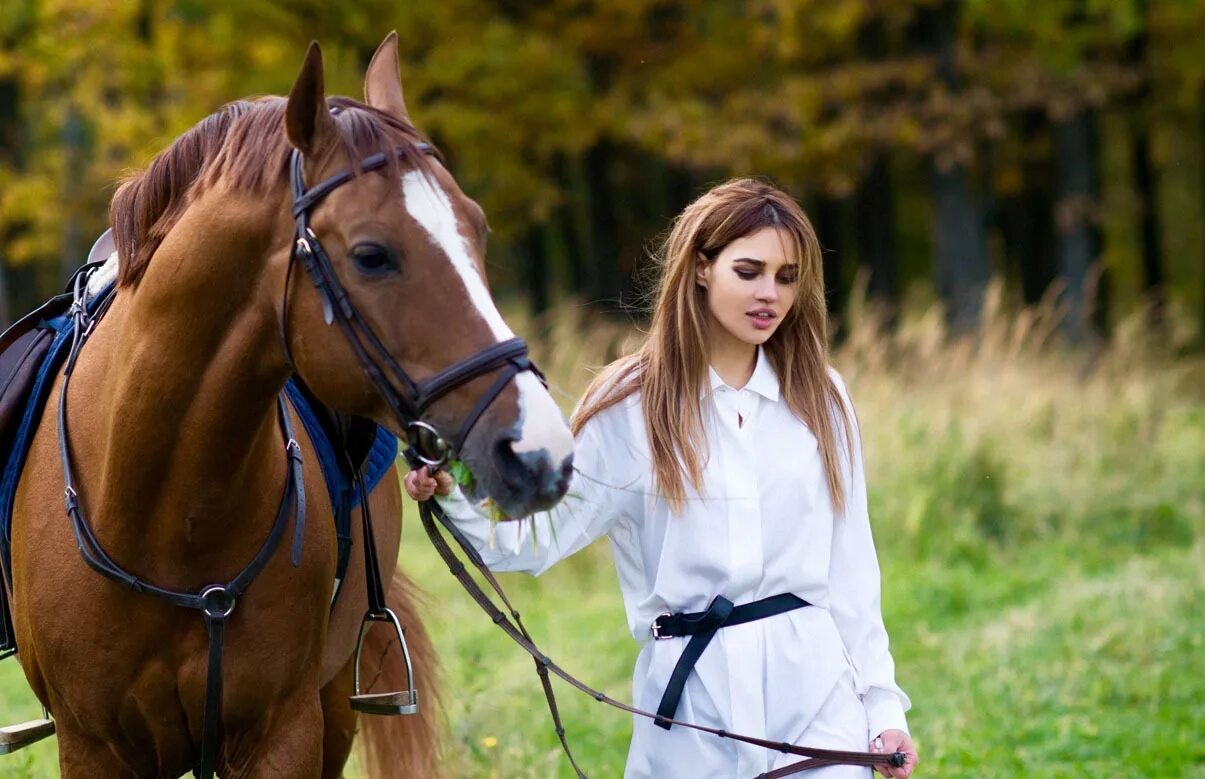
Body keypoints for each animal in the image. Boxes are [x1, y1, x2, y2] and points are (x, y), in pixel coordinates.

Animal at [3, 33, 578, 776]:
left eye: (475, 230)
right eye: (371, 255)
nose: (539, 450)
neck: (163, 513)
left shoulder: (286, 731)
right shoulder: (93, 746)